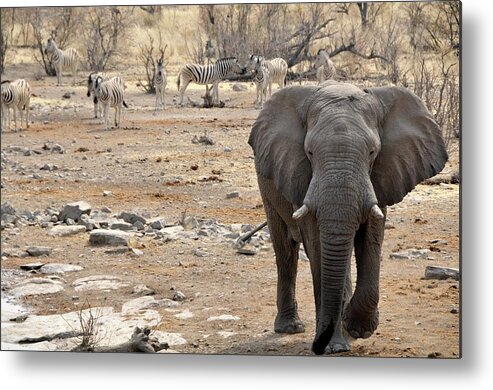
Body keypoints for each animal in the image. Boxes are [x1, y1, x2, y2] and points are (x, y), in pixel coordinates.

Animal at [248, 80, 448, 354]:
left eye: (373, 152)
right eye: (309, 152)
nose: (322, 345)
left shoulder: (382, 174)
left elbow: (371, 238)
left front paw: (358, 328)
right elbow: (318, 245)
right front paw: (335, 345)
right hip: (267, 185)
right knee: (285, 250)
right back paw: (290, 327)